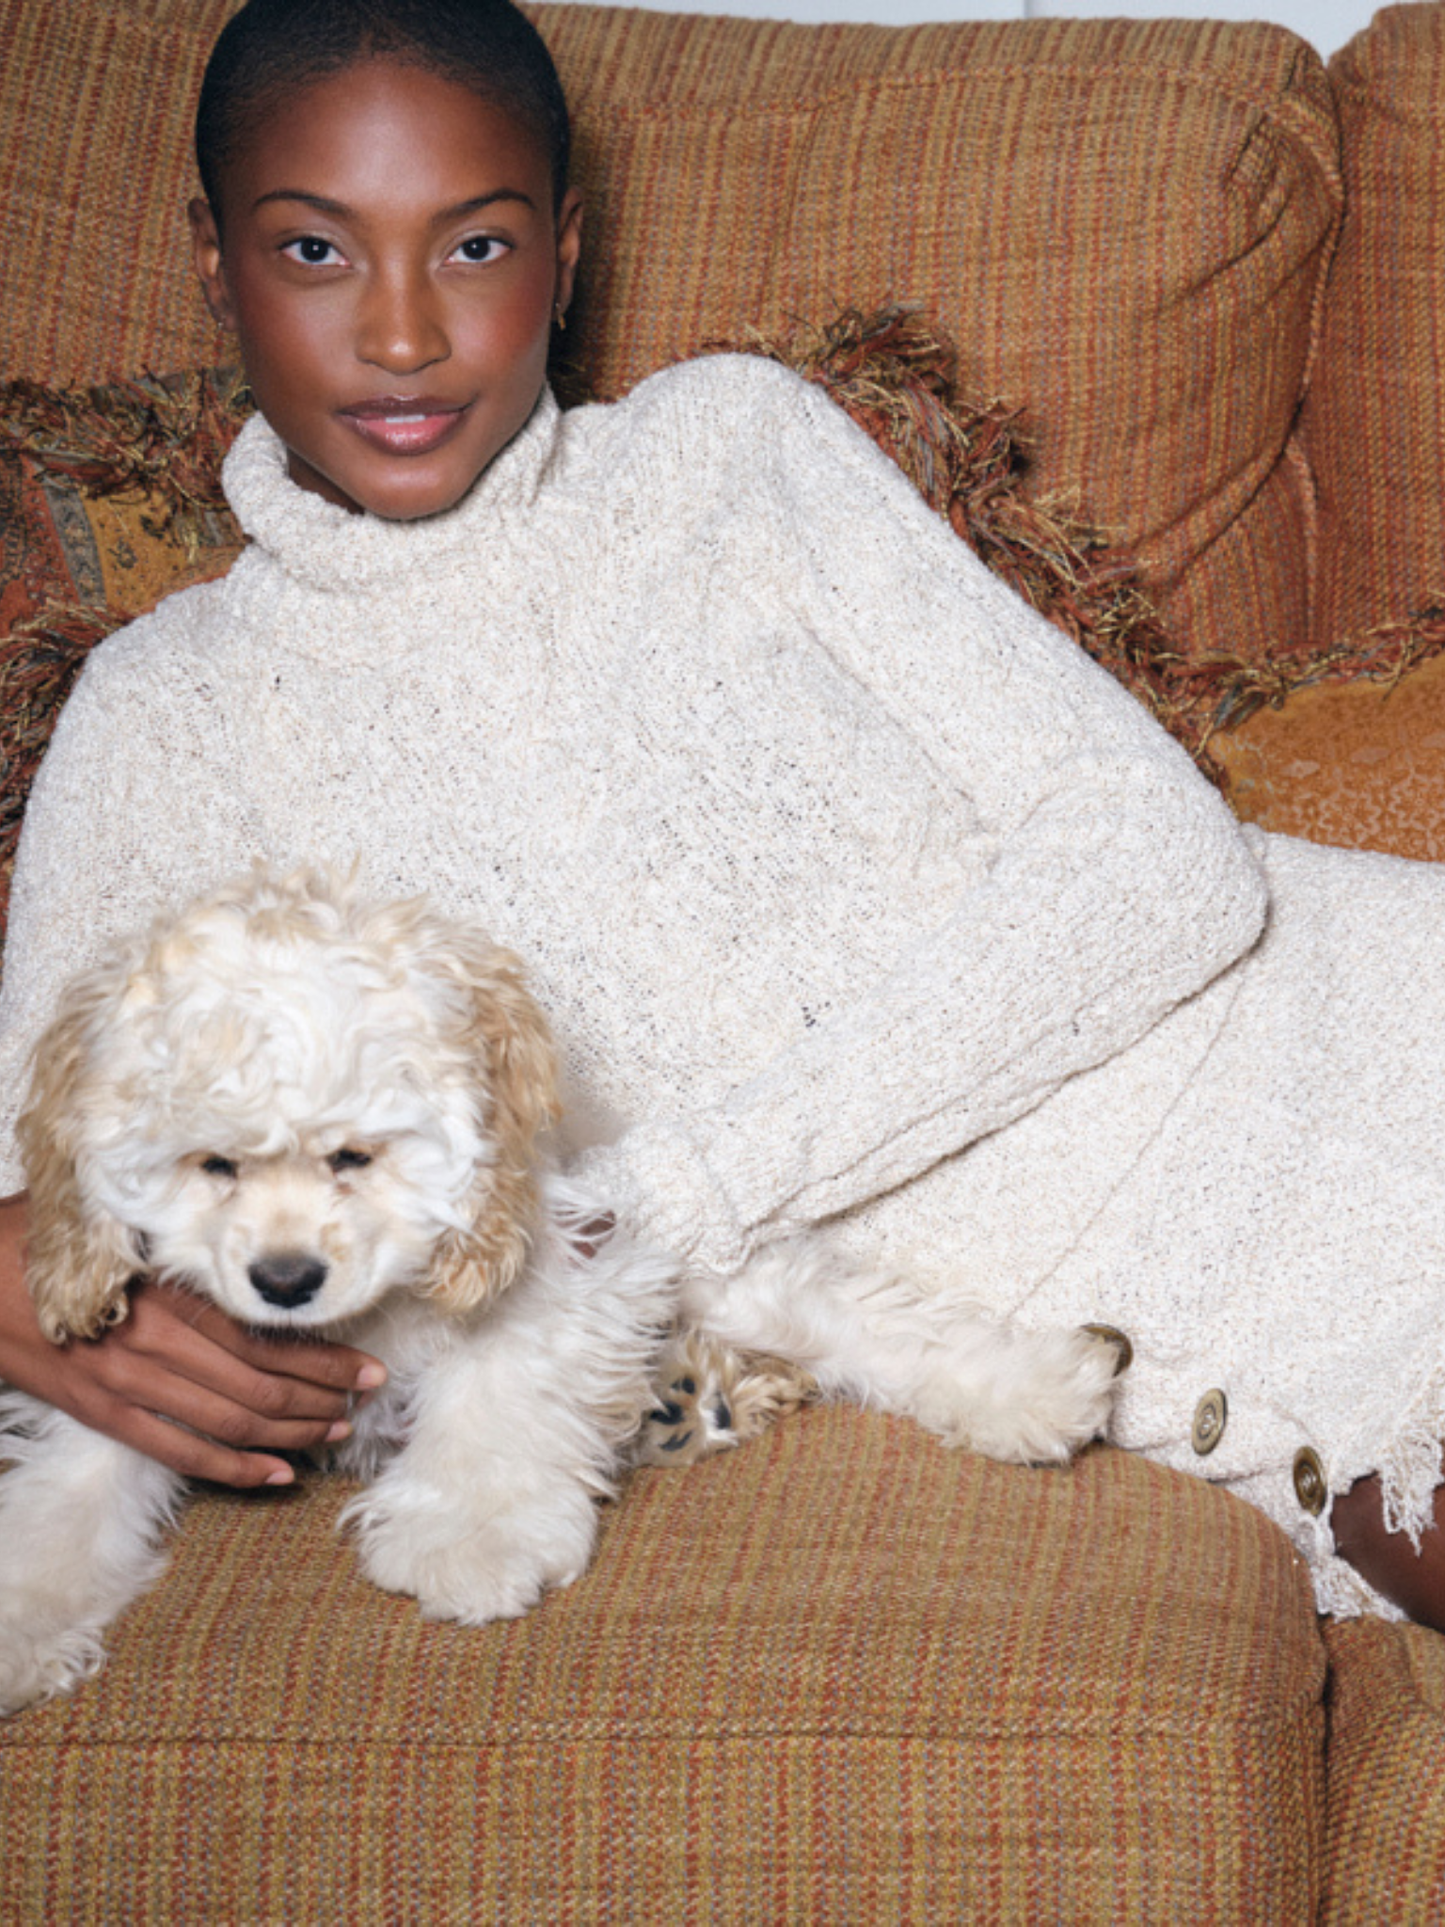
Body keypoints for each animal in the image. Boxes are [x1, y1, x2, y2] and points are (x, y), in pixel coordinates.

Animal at [0, 866, 1121, 1716]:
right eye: (212, 1164)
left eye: (355, 1155)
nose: (284, 1279)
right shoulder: (134, 1382)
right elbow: (66, 1497)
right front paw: (23, 1623)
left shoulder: (561, 1270)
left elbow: (496, 1398)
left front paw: (468, 1540)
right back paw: (685, 1400)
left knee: (838, 1313)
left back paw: (1029, 1389)